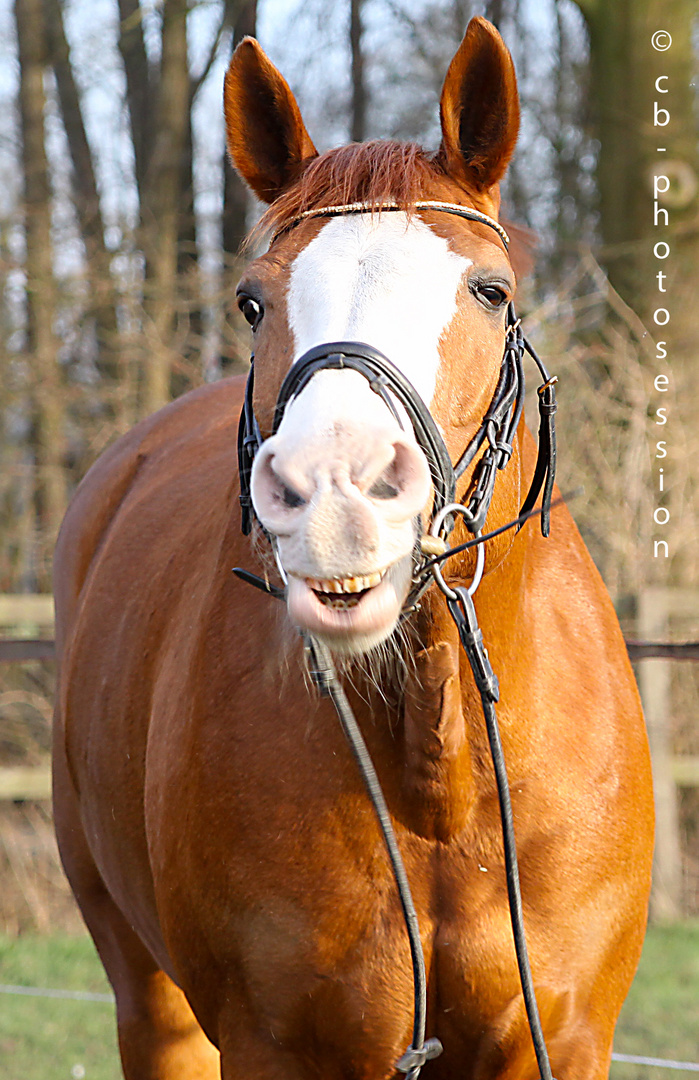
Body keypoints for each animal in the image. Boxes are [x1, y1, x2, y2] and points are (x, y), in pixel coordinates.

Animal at [54, 16, 656, 1080]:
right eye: (253, 302)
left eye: (490, 290)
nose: (333, 496)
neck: (440, 772)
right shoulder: (271, 1045)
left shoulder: (565, 1040)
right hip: (149, 1001)